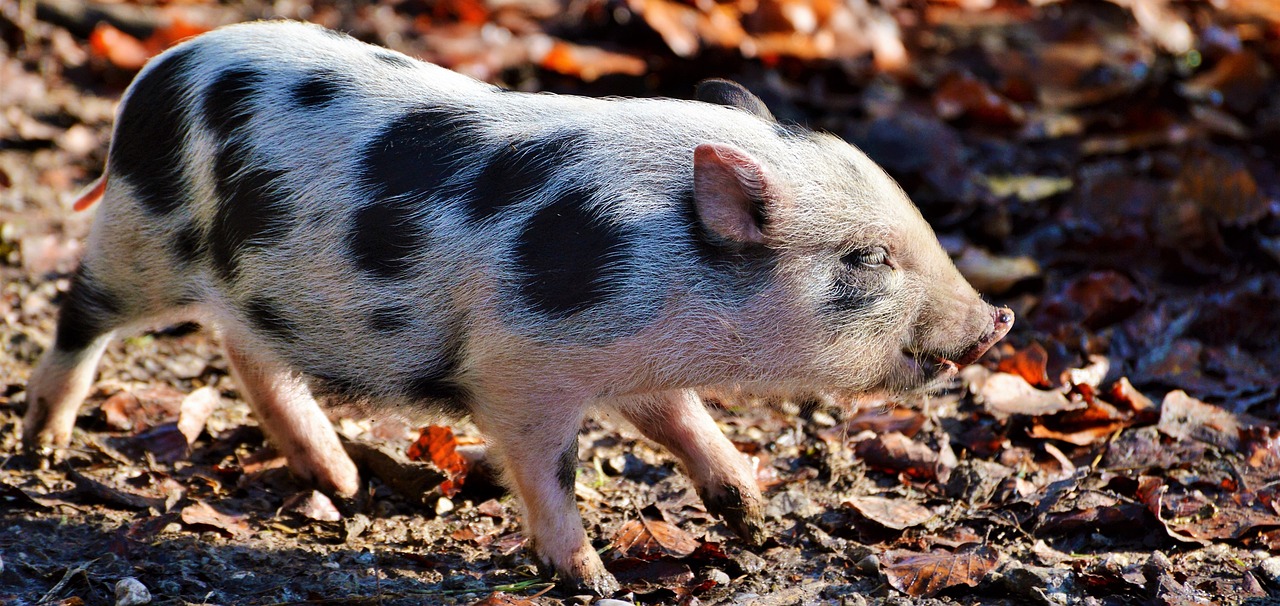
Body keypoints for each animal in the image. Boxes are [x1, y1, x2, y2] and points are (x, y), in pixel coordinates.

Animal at [22, 21, 1008, 591]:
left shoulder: (636, 362)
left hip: (255, 284)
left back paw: (340, 484)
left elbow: (686, 425)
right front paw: (595, 580)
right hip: (141, 235)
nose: (996, 322)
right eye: (868, 258)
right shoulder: (519, 371)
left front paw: (757, 523)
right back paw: (43, 449)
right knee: (81, 311)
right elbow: (549, 468)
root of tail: (155, 71)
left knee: (248, 350)